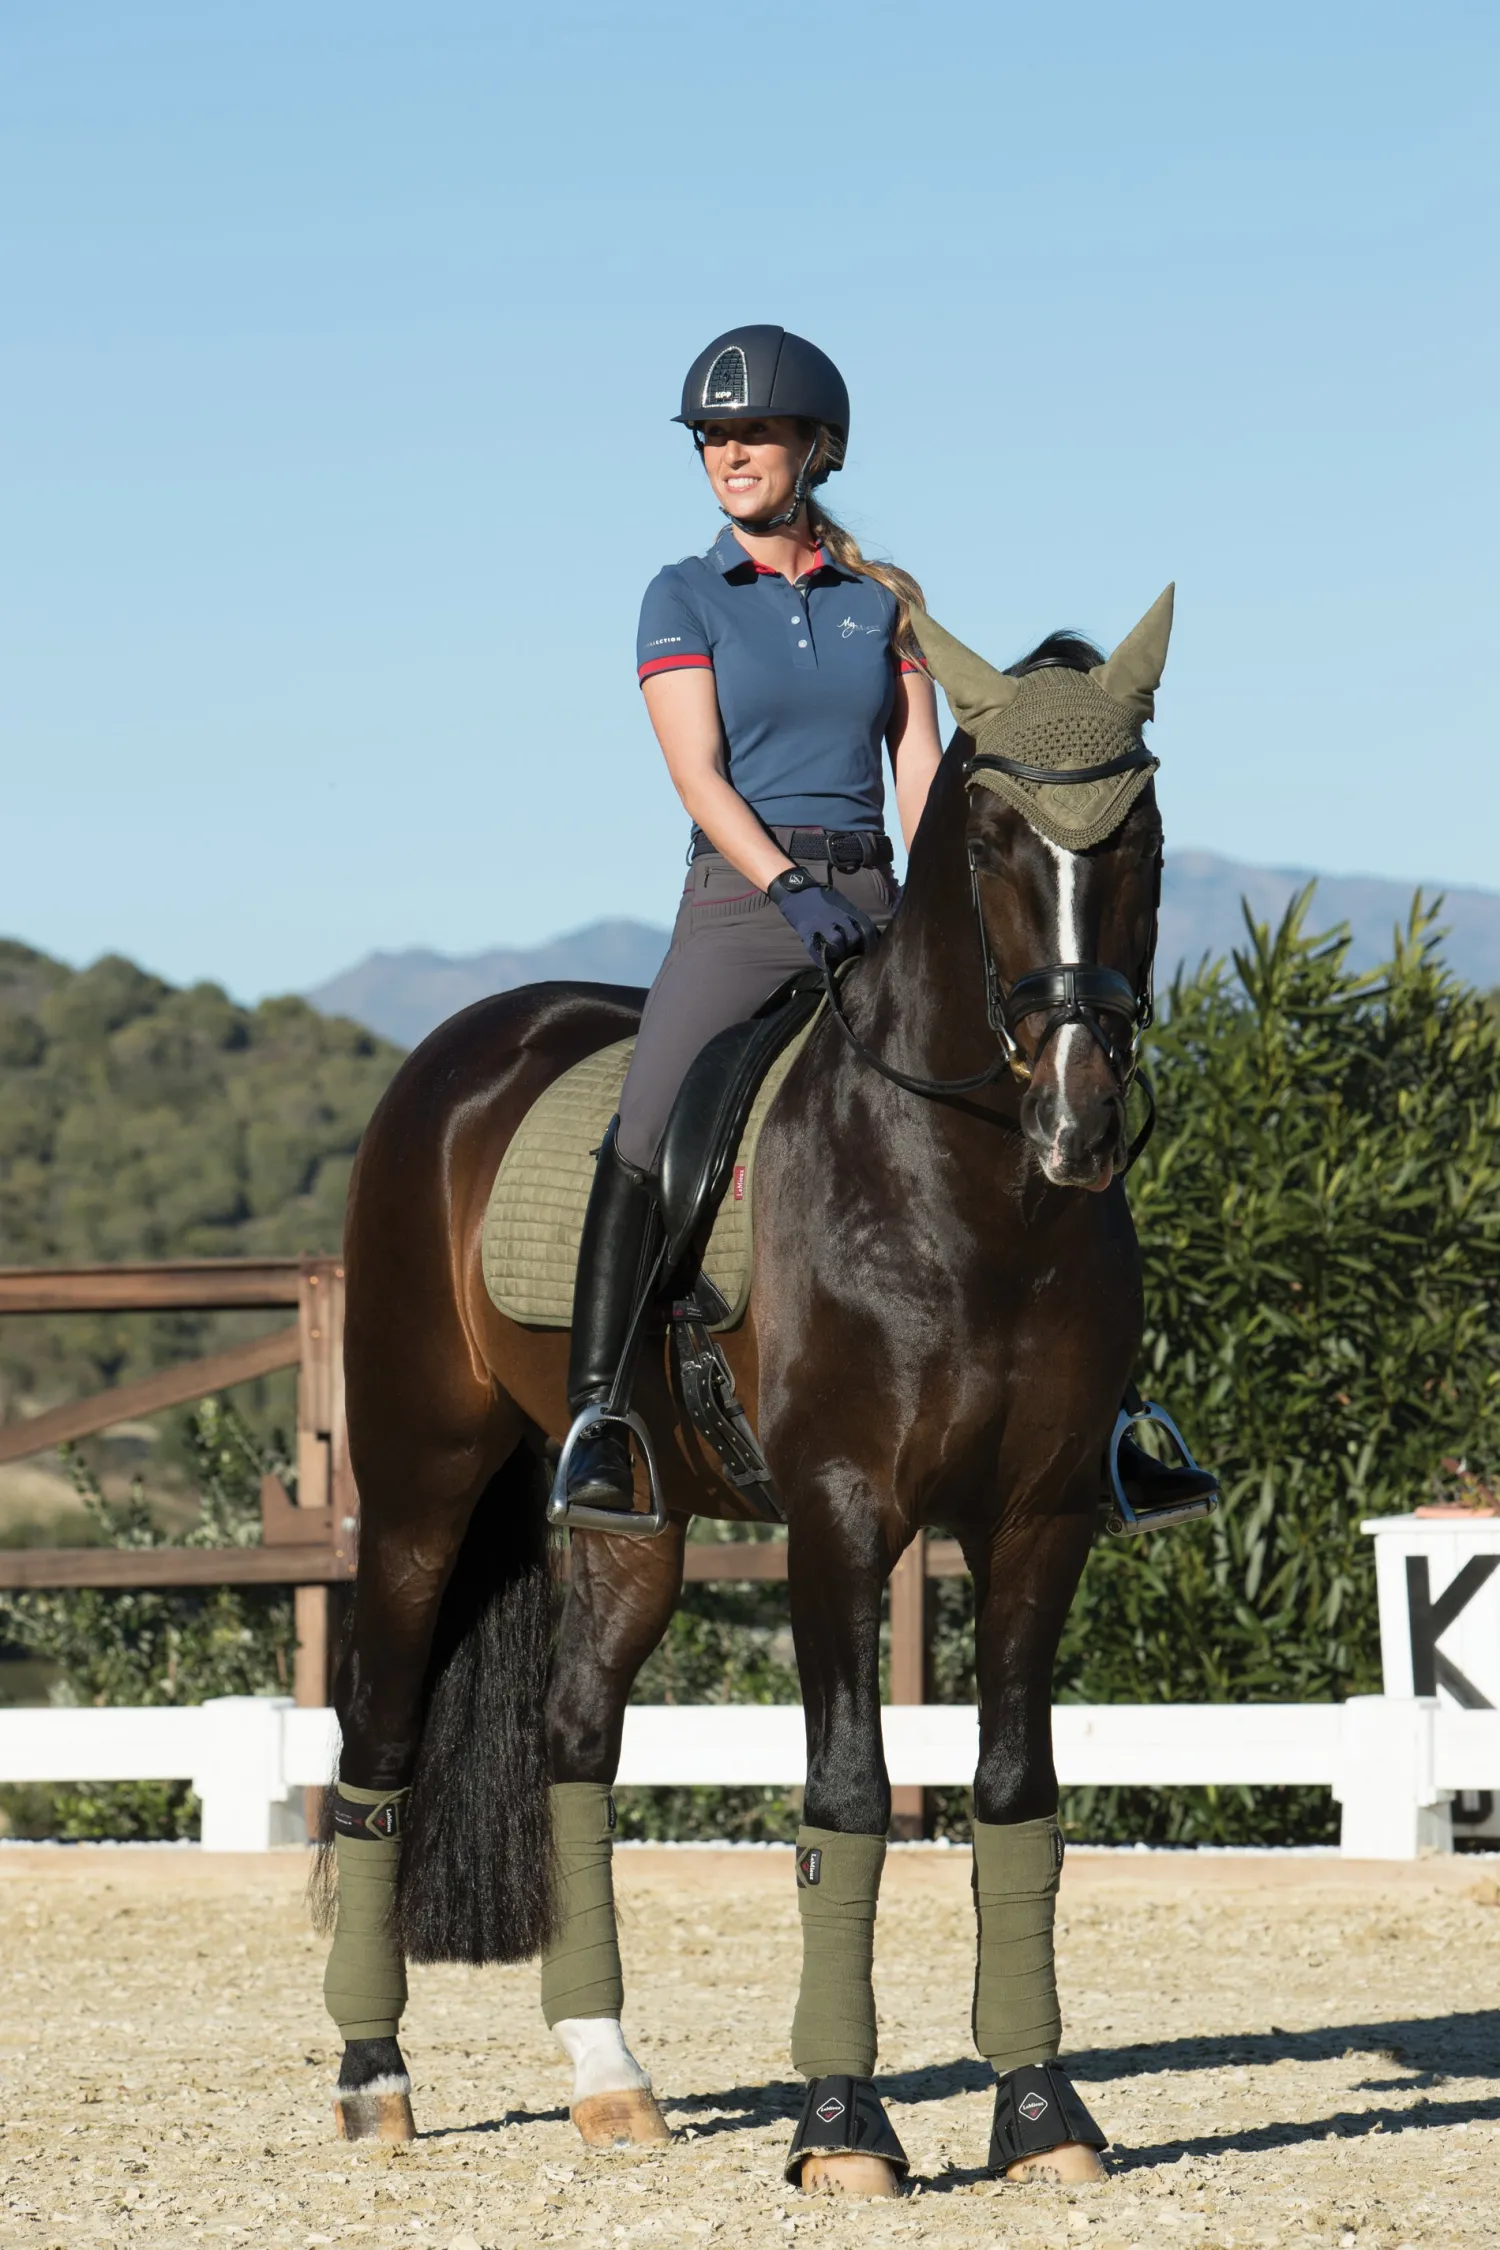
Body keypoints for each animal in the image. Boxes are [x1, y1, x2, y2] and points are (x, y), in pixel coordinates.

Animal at [315, 587, 1175, 2196]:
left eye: (1141, 834)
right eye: (994, 837)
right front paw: (842, 2126)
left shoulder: (1039, 1521)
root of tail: (464, 1051)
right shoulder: (838, 1515)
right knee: (378, 1739)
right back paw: (373, 2076)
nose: (1077, 1119)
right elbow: (846, 1801)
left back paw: (609, 2075)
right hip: (416, 1486)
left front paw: (1042, 2113)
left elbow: (1015, 1797)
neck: (972, 1190)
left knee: (573, 1739)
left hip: (634, 1521)